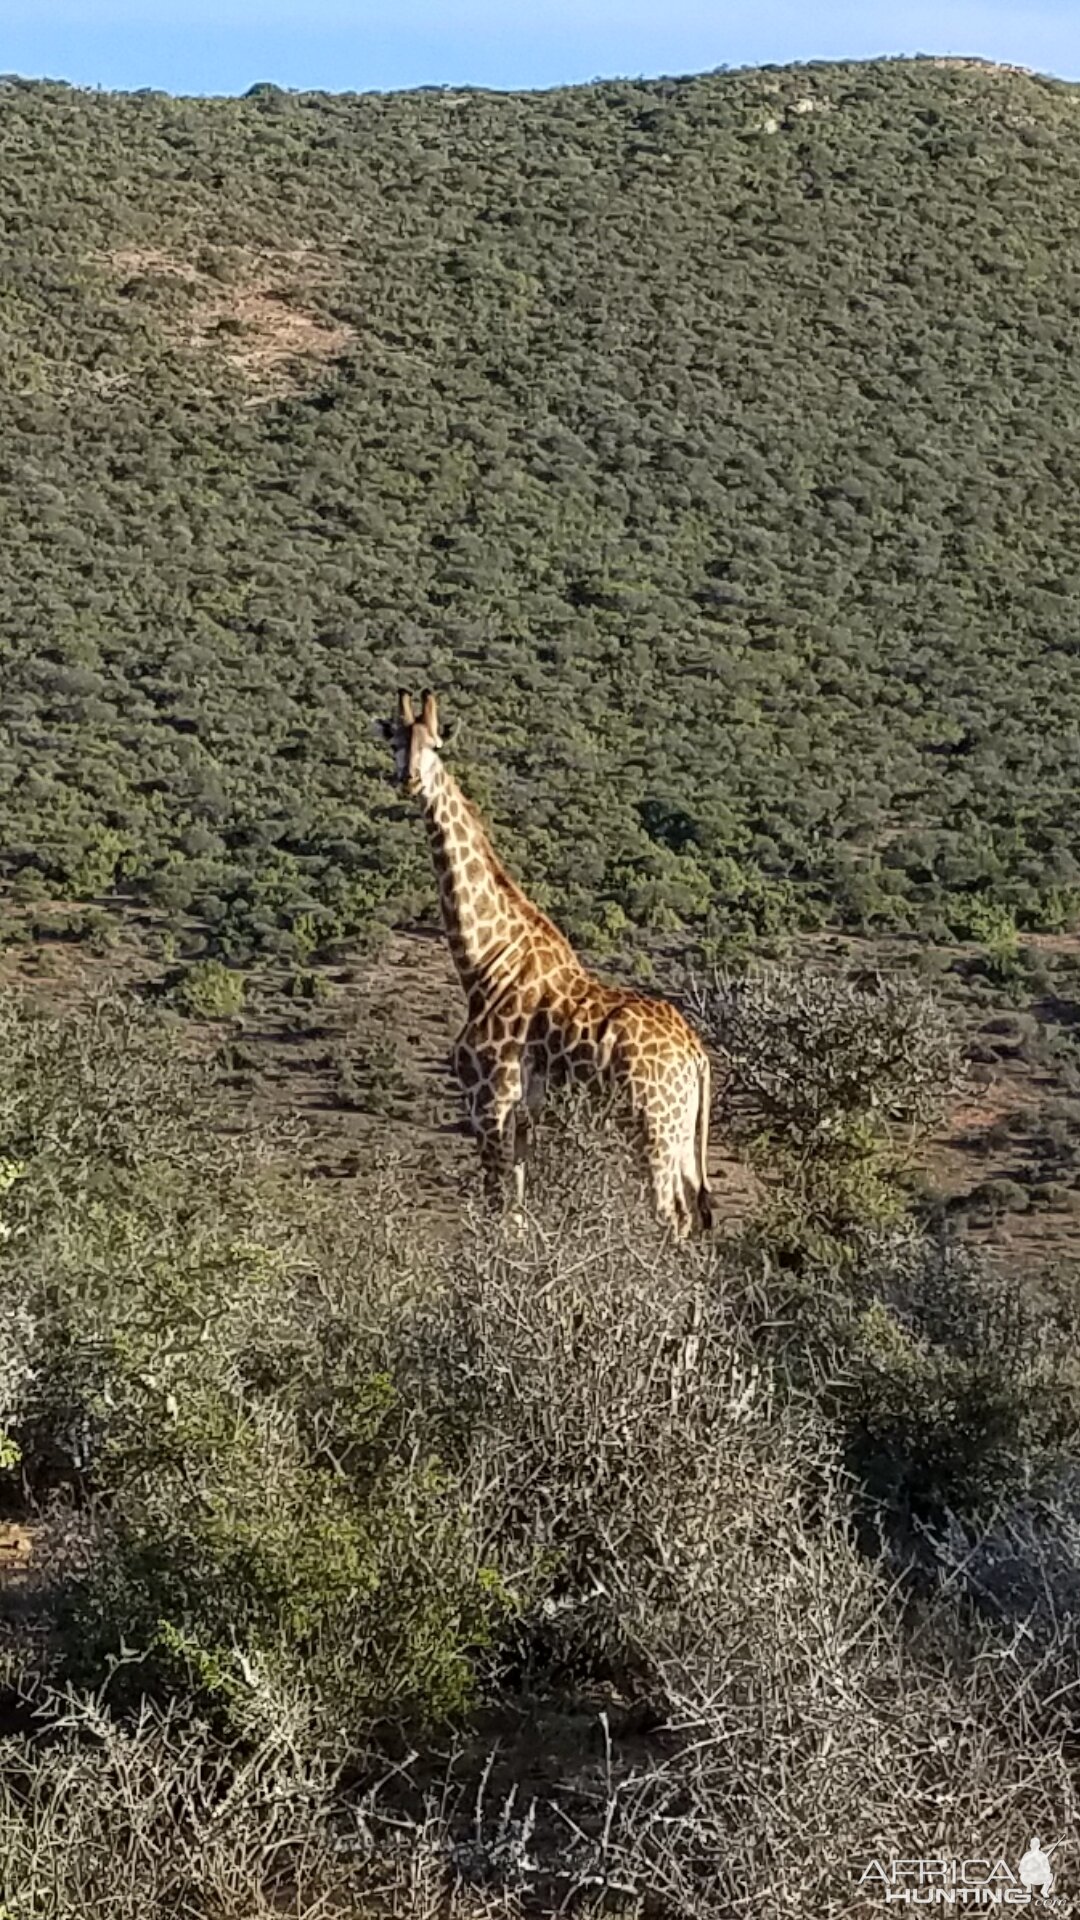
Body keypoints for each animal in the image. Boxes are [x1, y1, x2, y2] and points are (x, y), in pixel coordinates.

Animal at [374, 698, 711, 1236]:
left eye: (436, 745)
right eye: (395, 741)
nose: (409, 780)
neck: (484, 962)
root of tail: (696, 1055)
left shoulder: (490, 1101)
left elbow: (497, 1211)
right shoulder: (523, 1118)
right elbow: (516, 1211)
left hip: (652, 1129)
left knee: (666, 1216)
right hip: (681, 1137)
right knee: (688, 1217)